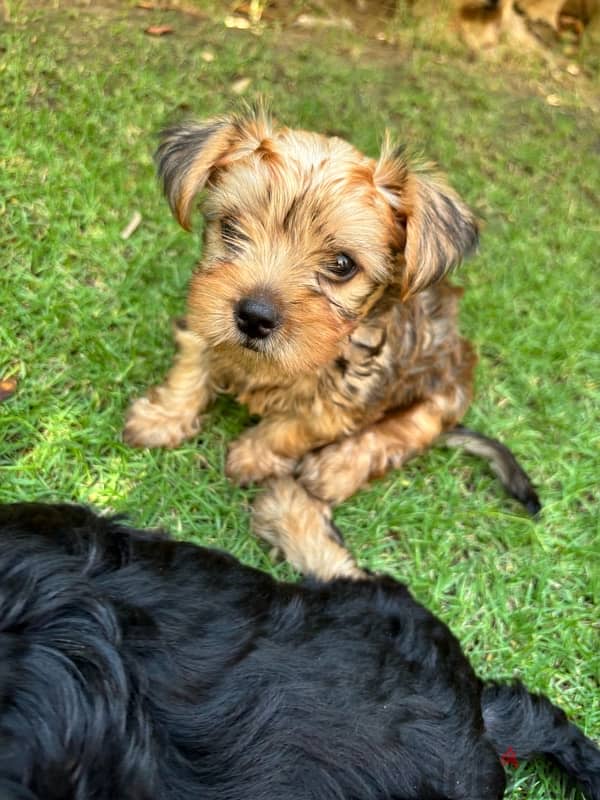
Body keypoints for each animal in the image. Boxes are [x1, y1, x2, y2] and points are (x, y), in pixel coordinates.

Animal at [125, 108, 540, 564]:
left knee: (401, 433)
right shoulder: (204, 321)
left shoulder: (340, 402)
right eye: (231, 228)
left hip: (443, 396)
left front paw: (251, 457)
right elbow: (191, 369)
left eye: (342, 264)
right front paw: (161, 418)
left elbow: (290, 429)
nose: (254, 316)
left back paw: (333, 469)